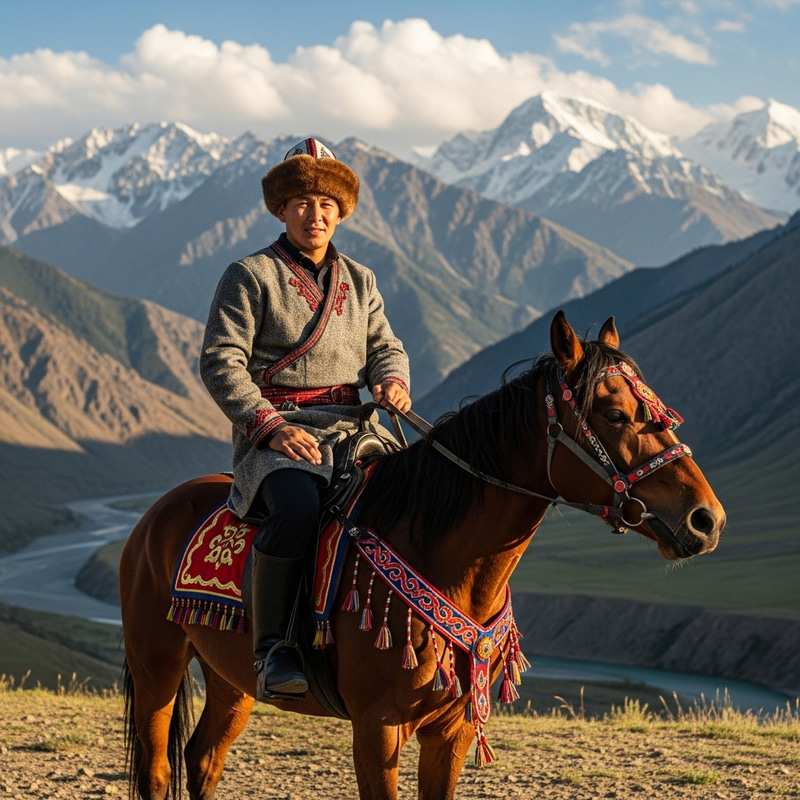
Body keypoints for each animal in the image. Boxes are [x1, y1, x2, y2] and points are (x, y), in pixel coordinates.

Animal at [119, 311, 725, 800]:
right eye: (615, 414)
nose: (707, 519)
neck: (443, 554)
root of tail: (155, 516)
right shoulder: (376, 728)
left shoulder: (450, 730)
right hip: (157, 666)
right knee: (157, 771)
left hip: (231, 677)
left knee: (203, 760)